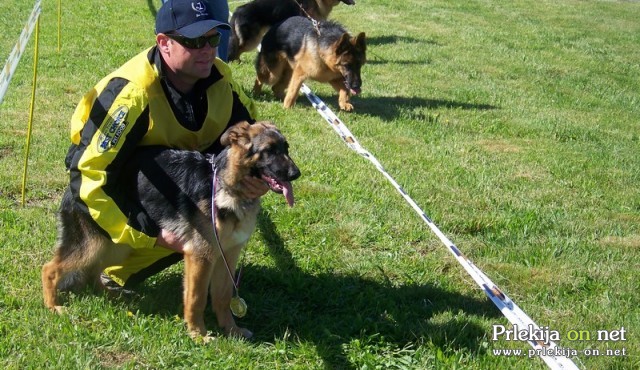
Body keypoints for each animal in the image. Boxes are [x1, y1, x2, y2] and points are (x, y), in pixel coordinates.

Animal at [41, 121, 302, 342]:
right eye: (268, 150)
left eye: (286, 148)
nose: (295, 174)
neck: (227, 185)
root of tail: (75, 186)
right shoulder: (201, 257)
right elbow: (196, 298)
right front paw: (198, 335)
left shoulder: (227, 257)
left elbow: (222, 297)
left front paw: (232, 330)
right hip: (93, 244)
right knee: (51, 268)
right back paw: (53, 306)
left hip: (116, 244)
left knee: (94, 270)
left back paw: (109, 294)